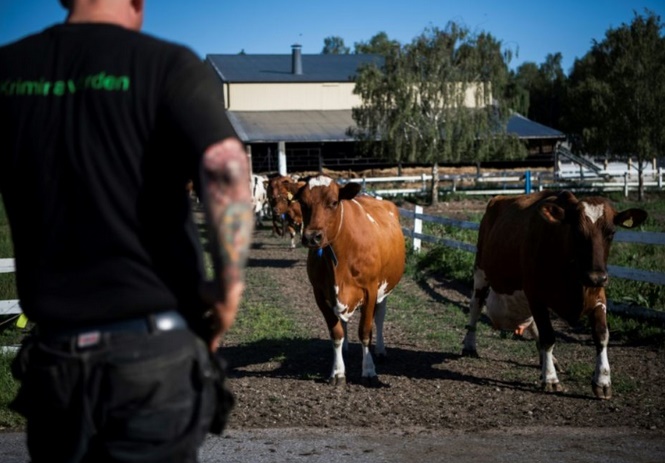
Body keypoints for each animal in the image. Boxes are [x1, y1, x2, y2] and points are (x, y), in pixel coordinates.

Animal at [294, 176, 404, 386]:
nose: (312, 237)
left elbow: (365, 332)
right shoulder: (320, 293)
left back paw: (380, 350)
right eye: (303, 203)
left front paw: (368, 370)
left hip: (384, 289)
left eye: (333, 202)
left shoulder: (370, 290)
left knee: (379, 317)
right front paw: (338, 371)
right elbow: (336, 332)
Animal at [462, 190, 648, 400]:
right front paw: (550, 378)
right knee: (476, 306)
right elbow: (548, 336)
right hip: (481, 270)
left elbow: (601, 334)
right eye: (577, 232)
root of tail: (498, 198)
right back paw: (469, 345)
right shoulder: (536, 294)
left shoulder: (598, 296)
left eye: (611, 233)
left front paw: (603, 380)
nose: (596, 277)